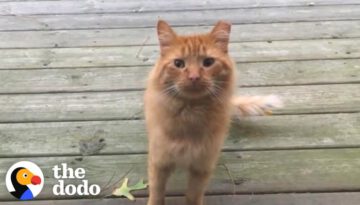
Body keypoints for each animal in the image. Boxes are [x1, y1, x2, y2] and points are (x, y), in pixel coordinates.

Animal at [143, 19, 282, 205]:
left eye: (208, 62)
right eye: (178, 64)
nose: (194, 77)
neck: (192, 112)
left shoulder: (202, 166)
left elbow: (193, 196)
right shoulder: (159, 162)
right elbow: (157, 192)